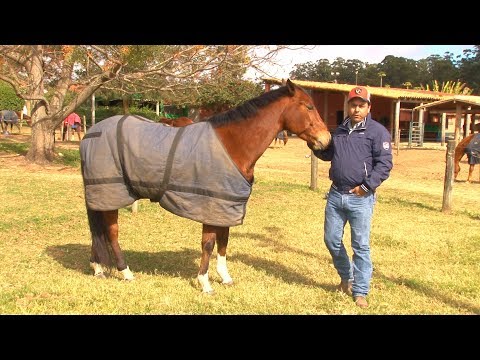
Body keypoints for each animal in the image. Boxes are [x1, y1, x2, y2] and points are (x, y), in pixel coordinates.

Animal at [80, 79, 332, 292]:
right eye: (309, 106)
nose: (326, 139)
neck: (232, 145)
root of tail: (91, 133)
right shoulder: (211, 206)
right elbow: (209, 244)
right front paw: (205, 283)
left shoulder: (226, 206)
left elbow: (224, 243)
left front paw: (225, 277)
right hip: (110, 194)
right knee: (111, 233)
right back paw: (125, 272)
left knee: (98, 231)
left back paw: (98, 268)